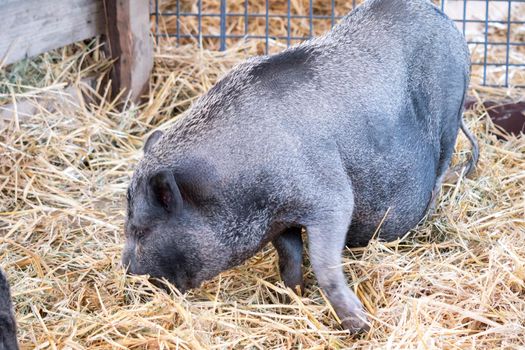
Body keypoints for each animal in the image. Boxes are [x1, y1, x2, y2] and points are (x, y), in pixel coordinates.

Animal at [122, 0, 474, 334]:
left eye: (141, 229)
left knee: (440, 171)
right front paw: (292, 297)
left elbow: (324, 264)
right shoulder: (280, 220)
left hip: (450, 115)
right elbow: (288, 259)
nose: (125, 271)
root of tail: (445, 22)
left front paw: (360, 326)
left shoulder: (330, 198)